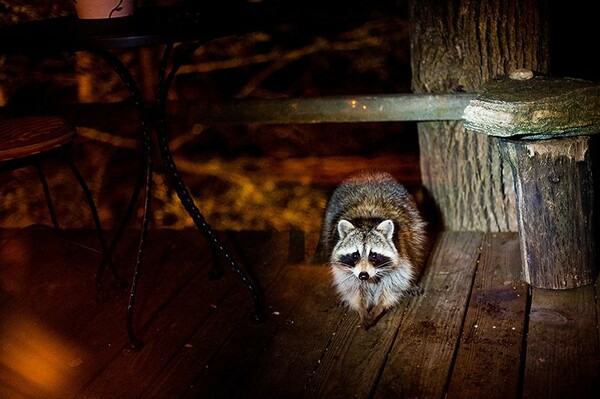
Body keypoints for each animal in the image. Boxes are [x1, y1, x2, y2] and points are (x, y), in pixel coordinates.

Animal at [318, 170, 426, 330]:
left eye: (373, 255)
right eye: (355, 255)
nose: (363, 275)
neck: (366, 221)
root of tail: (368, 173)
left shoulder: (402, 252)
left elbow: (394, 283)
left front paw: (379, 307)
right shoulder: (344, 268)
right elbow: (352, 286)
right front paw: (361, 308)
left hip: (414, 225)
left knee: (416, 249)